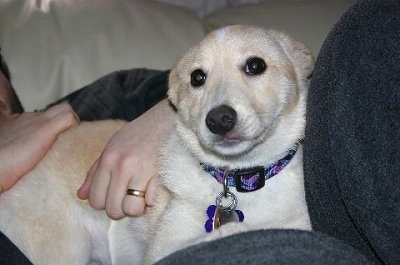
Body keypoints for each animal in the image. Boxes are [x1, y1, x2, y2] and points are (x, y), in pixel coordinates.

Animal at [0, 25, 314, 264]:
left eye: (255, 65)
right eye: (197, 77)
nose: (218, 120)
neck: (239, 178)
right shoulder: (165, 249)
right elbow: (225, 234)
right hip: (64, 249)